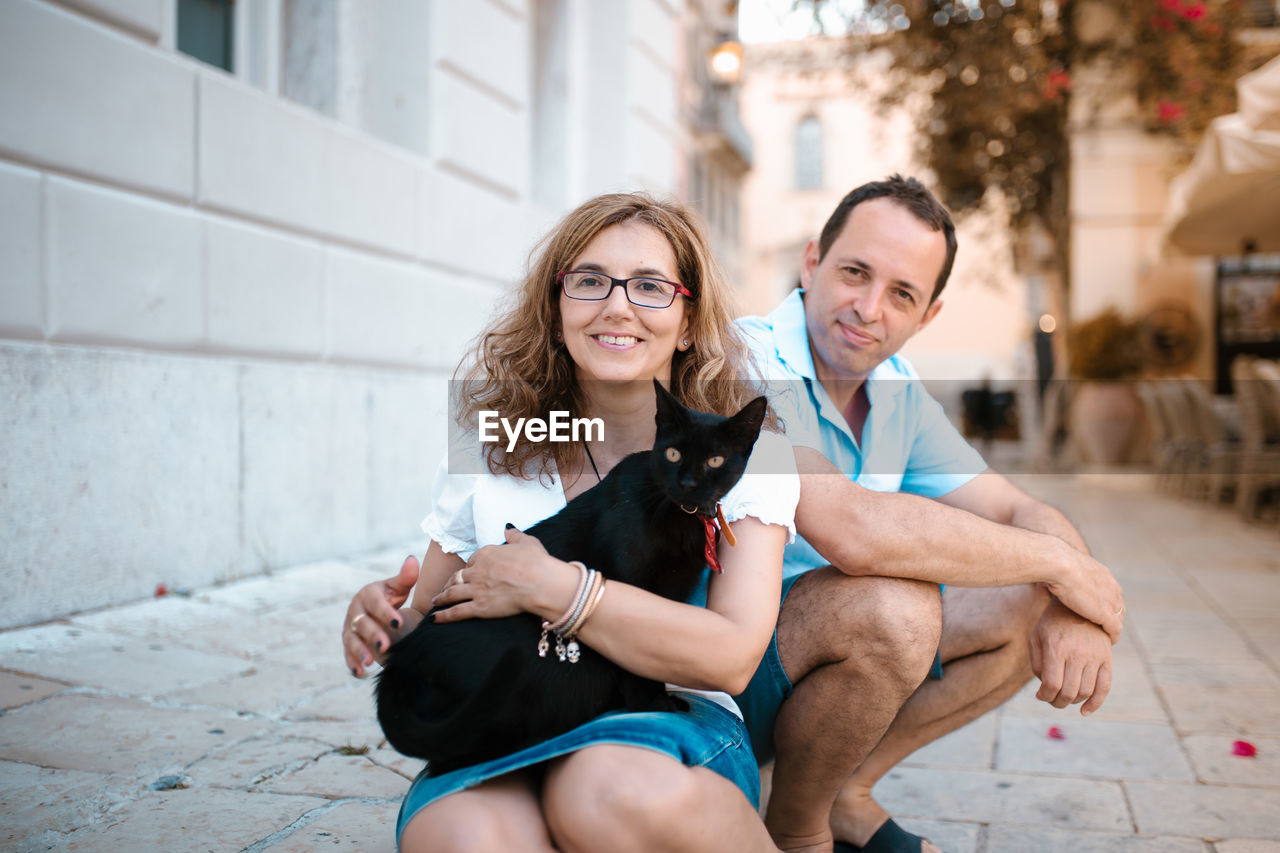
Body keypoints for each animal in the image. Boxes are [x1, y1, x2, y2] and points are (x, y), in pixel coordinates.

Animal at [373, 379, 762, 768]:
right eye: (673, 455)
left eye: (715, 460)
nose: (688, 482)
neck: (678, 515)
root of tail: (396, 668)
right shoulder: (629, 584)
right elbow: (634, 665)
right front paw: (651, 705)